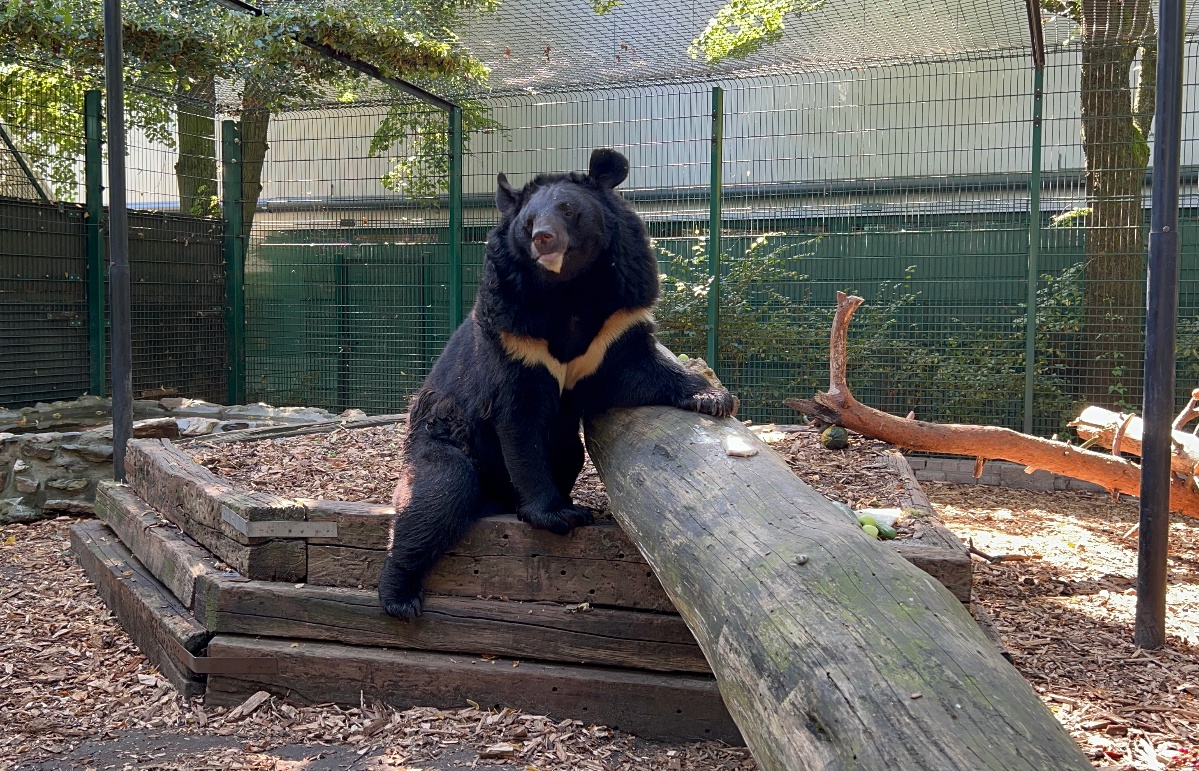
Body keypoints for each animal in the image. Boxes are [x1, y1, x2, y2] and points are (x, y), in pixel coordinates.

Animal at [378, 146, 733, 623]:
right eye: (527, 222)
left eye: (567, 209)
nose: (543, 238)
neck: (568, 290)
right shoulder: (514, 336)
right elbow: (520, 423)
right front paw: (560, 515)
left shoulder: (614, 323)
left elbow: (638, 369)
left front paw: (714, 397)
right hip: (441, 438)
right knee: (435, 496)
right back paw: (400, 596)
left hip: (562, 448)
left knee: (566, 453)